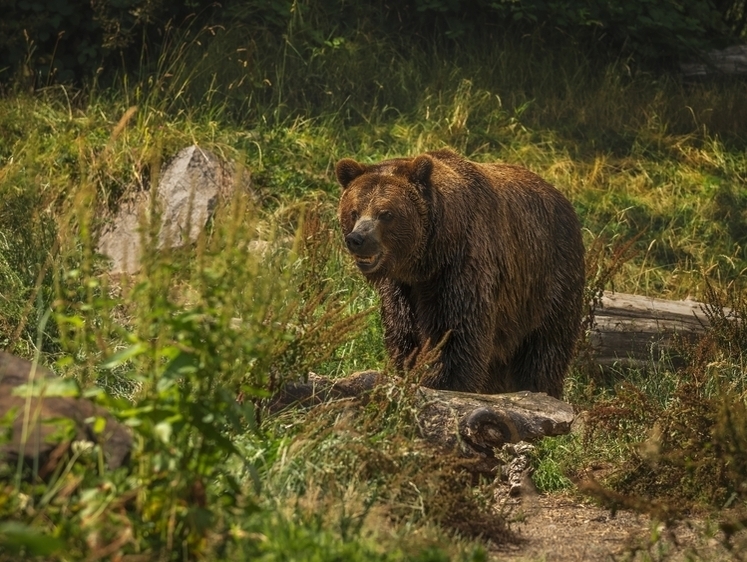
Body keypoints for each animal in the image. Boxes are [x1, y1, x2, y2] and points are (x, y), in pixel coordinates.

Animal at [336, 147, 588, 396]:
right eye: (354, 211)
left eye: (386, 213)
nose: (357, 239)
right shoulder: (402, 287)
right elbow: (403, 333)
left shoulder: (461, 268)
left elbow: (455, 334)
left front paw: (441, 382)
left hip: (548, 282)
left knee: (545, 349)